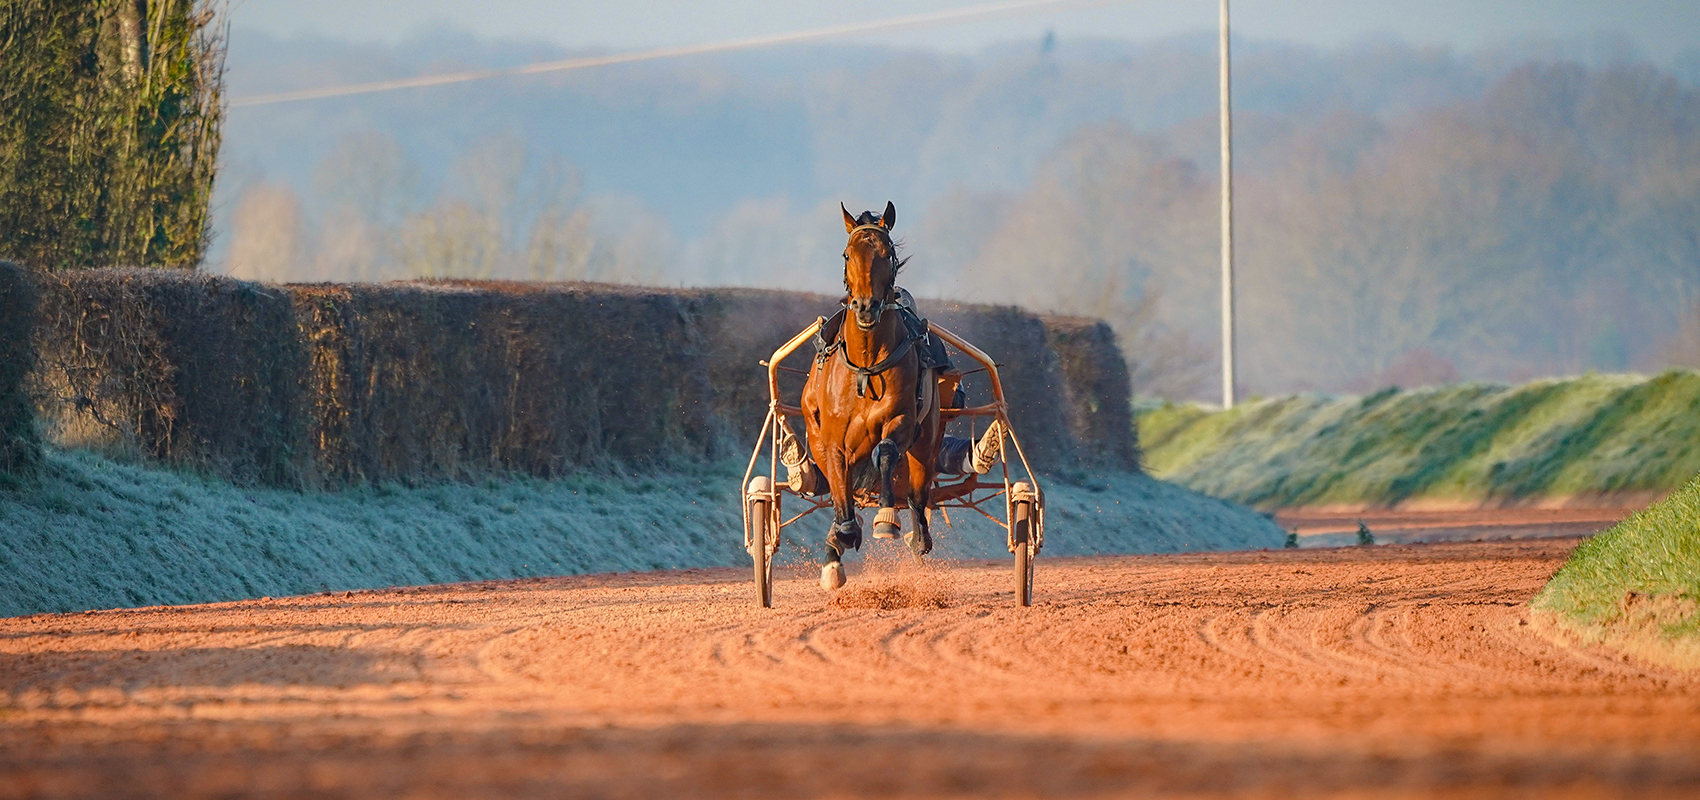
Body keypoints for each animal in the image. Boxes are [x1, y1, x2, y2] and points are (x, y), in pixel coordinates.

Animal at [799, 200, 945, 587]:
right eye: (848, 254)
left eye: (887, 253)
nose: (866, 306)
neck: (866, 366)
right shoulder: (832, 441)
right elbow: (839, 489)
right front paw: (840, 541)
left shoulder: (903, 420)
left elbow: (886, 452)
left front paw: (885, 521)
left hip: (927, 442)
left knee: (917, 496)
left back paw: (917, 536)